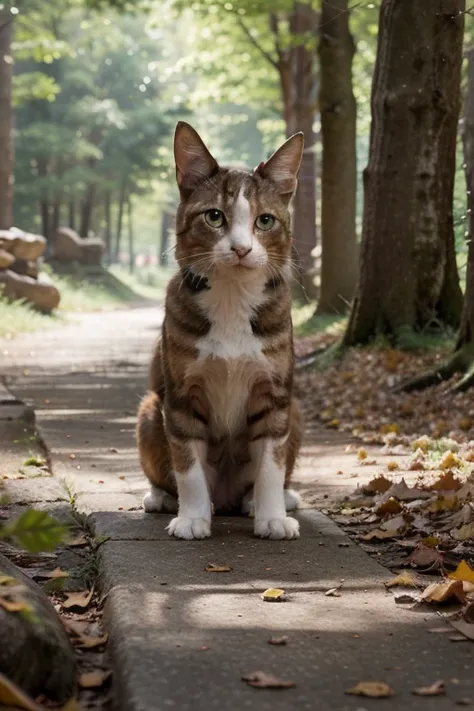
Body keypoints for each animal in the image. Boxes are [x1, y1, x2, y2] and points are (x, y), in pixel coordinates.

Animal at [137, 122, 306, 544]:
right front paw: (192, 518)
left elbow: (271, 463)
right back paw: (162, 497)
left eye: (265, 220)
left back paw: (266, 500)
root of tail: (228, 497)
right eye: (214, 217)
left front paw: (273, 516)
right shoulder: (180, 395)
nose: (242, 249)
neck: (232, 299)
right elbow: (187, 465)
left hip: (296, 408)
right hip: (150, 408)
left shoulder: (275, 394)